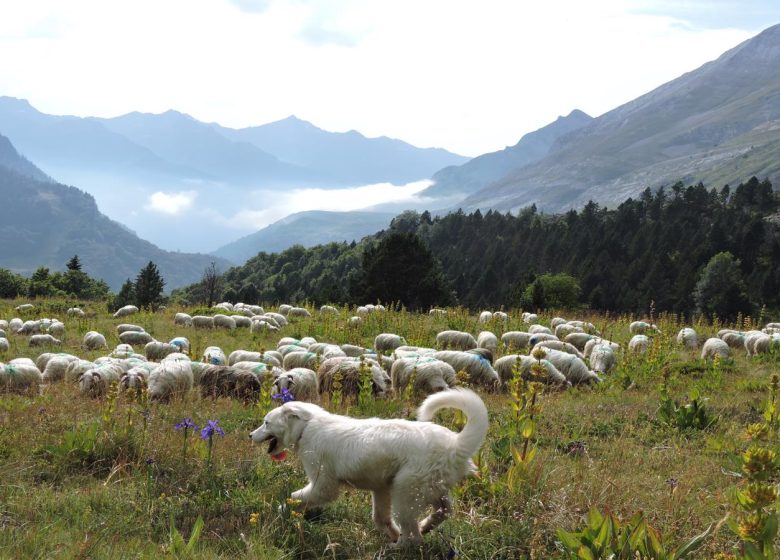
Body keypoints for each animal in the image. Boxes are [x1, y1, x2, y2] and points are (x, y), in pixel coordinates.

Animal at [250, 390, 488, 548]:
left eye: (266, 423)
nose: (250, 435)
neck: (307, 427)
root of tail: (455, 444)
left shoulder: (323, 486)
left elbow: (295, 497)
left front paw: (284, 510)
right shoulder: (380, 489)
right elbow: (380, 518)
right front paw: (391, 532)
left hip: (405, 493)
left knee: (414, 537)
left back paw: (397, 548)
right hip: (430, 490)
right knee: (443, 511)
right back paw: (425, 526)